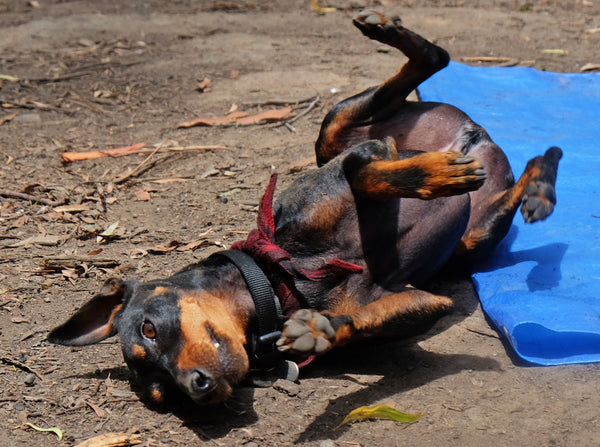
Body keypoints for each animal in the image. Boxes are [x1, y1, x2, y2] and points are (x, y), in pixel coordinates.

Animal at [49, 11, 560, 406]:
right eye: (162, 393)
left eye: (150, 330)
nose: (195, 388)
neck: (279, 283)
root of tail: (473, 132)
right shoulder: (423, 301)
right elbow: (360, 321)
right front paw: (320, 329)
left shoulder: (370, 154)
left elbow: (369, 174)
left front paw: (436, 176)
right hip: (476, 237)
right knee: (518, 177)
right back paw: (540, 184)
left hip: (336, 131)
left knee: (435, 60)